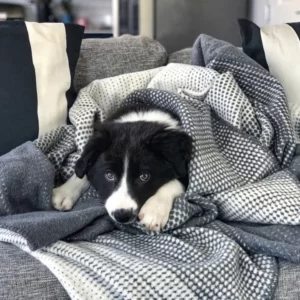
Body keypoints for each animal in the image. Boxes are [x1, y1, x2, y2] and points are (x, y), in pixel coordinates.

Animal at [51, 105, 192, 232]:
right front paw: (65, 192)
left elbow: (173, 181)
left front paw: (154, 211)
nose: (122, 215)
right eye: (109, 175)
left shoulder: (184, 166)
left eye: (144, 176)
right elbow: (83, 170)